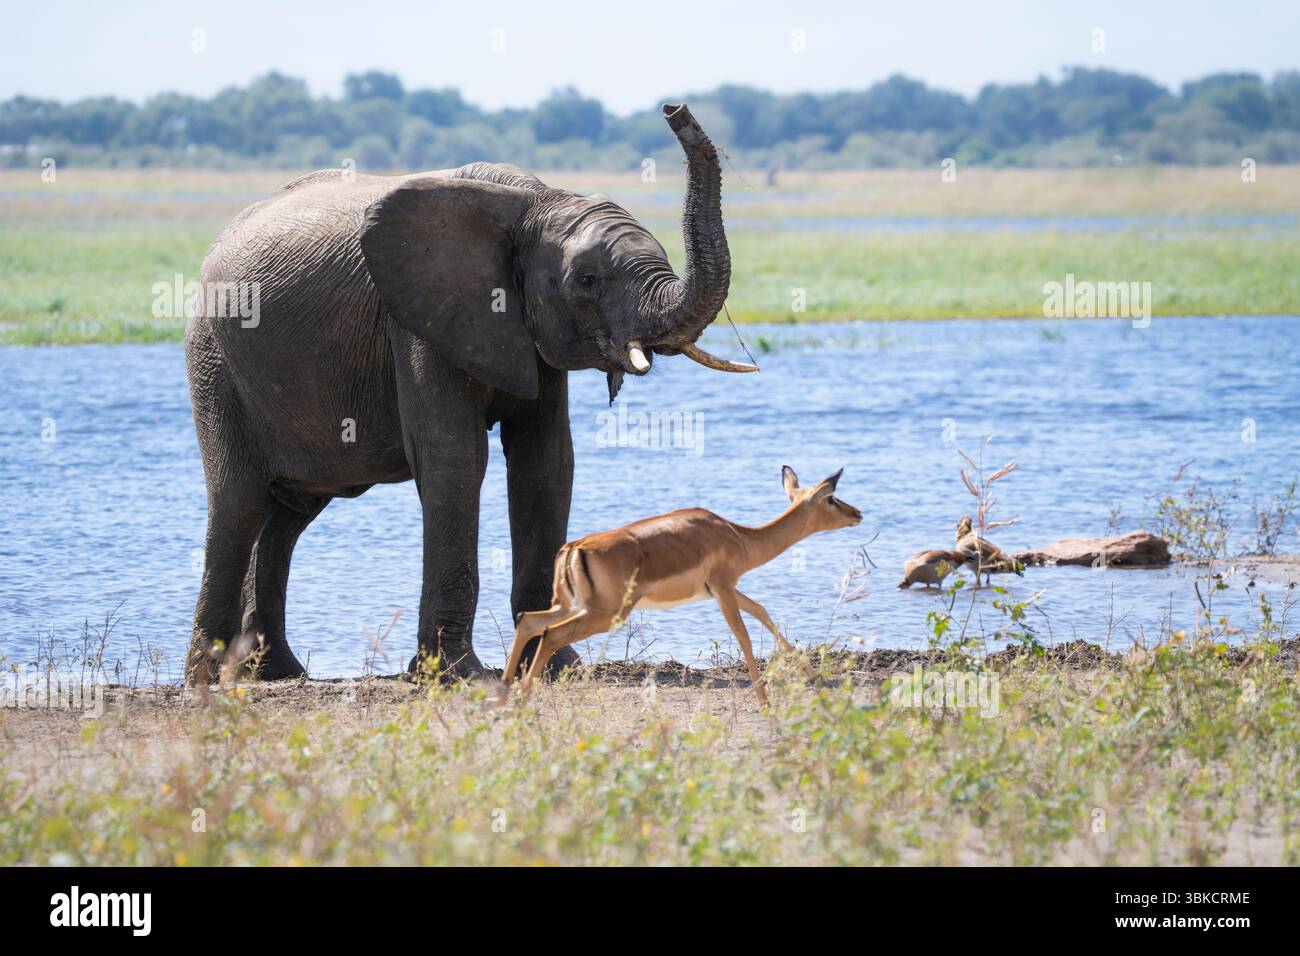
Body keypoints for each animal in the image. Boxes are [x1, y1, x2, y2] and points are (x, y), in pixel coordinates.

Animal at [183, 103, 752, 685]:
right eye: (587, 280)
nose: (674, 110)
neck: (535, 201)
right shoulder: (417, 320)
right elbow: (455, 458)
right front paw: (458, 675)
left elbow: (546, 463)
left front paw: (556, 666)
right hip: (215, 361)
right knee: (240, 503)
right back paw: (205, 679)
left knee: (287, 516)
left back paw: (275, 672)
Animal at [503, 466, 862, 706]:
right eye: (831, 498)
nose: (857, 513)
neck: (740, 537)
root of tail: (574, 547)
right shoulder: (723, 589)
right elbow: (744, 636)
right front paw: (765, 702)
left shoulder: (723, 589)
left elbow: (762, 612)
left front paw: (815, 680)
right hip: (605, 615)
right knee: (552, 634)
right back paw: (521, 701)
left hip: (571, 605)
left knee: (529, 621)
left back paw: (505, 694)